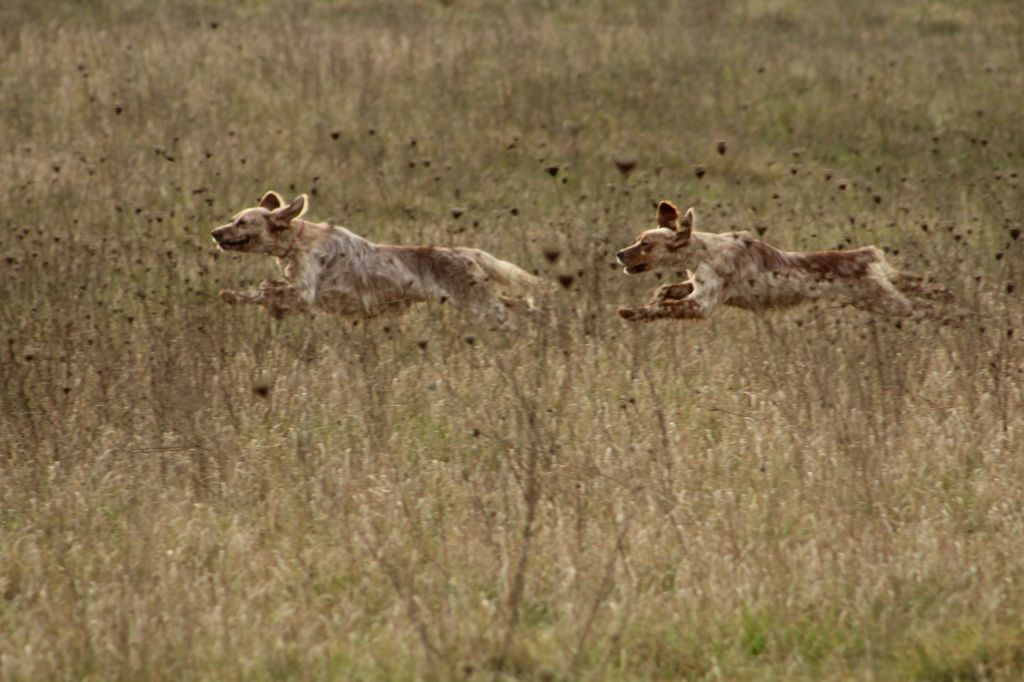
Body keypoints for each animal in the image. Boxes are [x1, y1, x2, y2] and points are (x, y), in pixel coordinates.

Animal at [210, 189, 540, 325]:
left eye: (242, 223)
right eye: (233, 218)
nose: (214, 232)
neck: (298, 240)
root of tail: (463, 252)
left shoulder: (305, 293)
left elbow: (261, 291)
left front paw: (231, 295)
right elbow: (269, 288)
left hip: (481, 304)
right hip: (481, 298)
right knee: (522, 304)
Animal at [614, 199, 950, 321]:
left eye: (645, 245)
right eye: (637, 240)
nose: (619, 254)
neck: (704, 252)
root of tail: (866, 255)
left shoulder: (702, 305)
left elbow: (663, 308)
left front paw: (632, 312)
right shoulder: (698, 288)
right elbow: (668, 291)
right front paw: (655, 297)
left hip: (884, 301)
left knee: (927, 309)